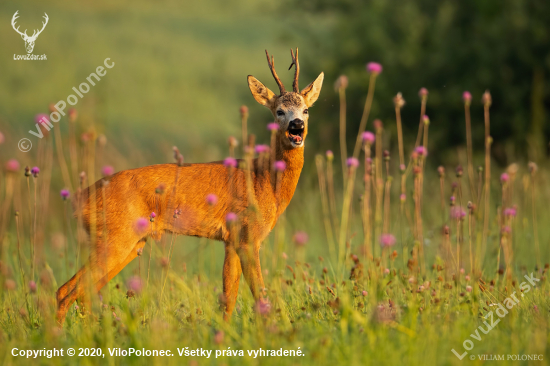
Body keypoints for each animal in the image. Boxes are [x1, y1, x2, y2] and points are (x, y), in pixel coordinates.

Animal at [56, 48, 324, 324]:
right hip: (116, 238)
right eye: (279, 111)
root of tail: (81, 197)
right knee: (69, 292)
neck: (264, 179)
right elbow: (260, 294)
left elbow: (229, 296)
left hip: (130, 243)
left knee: (76, 292)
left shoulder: (231, 239)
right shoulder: (248, 236)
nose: (297, 126)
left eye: (305, 110)